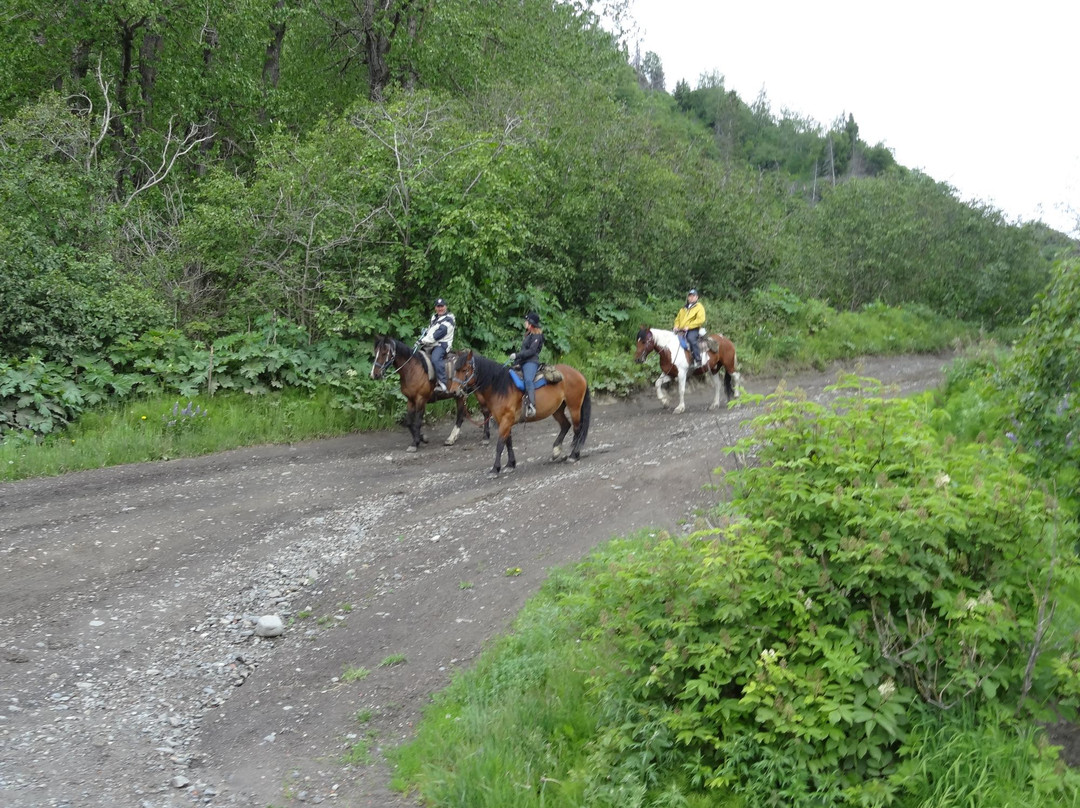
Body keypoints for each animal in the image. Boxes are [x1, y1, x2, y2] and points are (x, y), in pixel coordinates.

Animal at [449, 350, 591, 476]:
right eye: (455, 369)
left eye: (465, 370)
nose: (454, 391)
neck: (500, 387)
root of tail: (579, 374)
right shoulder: (504, 421)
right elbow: (508, 442)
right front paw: (510, 464)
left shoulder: (506, 420)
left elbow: (500, 445)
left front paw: (495, 469)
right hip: (557, 409)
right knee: (565, 425)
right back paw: (556, 451)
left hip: (574, 407)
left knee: (577, 429)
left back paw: (574, 455)